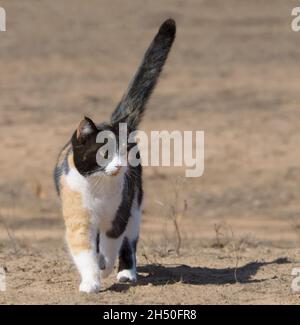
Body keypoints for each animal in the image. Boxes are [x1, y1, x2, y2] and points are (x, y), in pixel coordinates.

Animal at [53, 17, 176, 292]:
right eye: (105, 153)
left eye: (125, 152)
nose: (120, 166)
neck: (98, 188)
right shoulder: (79, 219)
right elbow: (84, 250)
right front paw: (90, 282)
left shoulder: (118, 215)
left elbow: (111, 246)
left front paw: (105, 267)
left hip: (135, 206)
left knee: (128, 243)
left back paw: (126, 273)